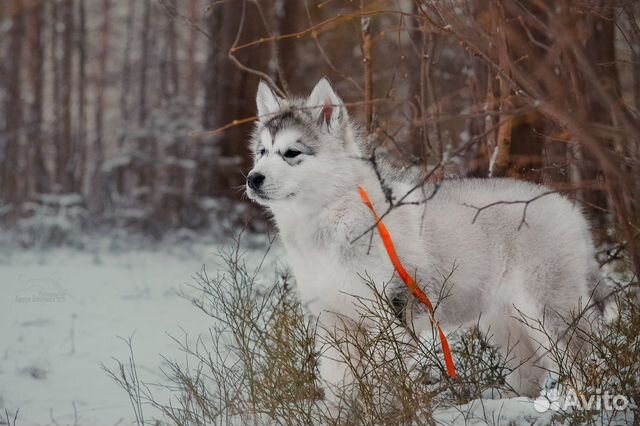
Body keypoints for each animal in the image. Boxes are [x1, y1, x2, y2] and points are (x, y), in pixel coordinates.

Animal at [244, 78, 600, 402]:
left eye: (291, 153)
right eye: (261, 152)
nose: (252, 178)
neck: (330, 215)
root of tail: (570, 208)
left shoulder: (391, 314)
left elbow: (386, 381)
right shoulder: (332, 320)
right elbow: (338, 387)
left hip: (547, 309)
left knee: (580, 359)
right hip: (504, 319)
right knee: (530, 369)